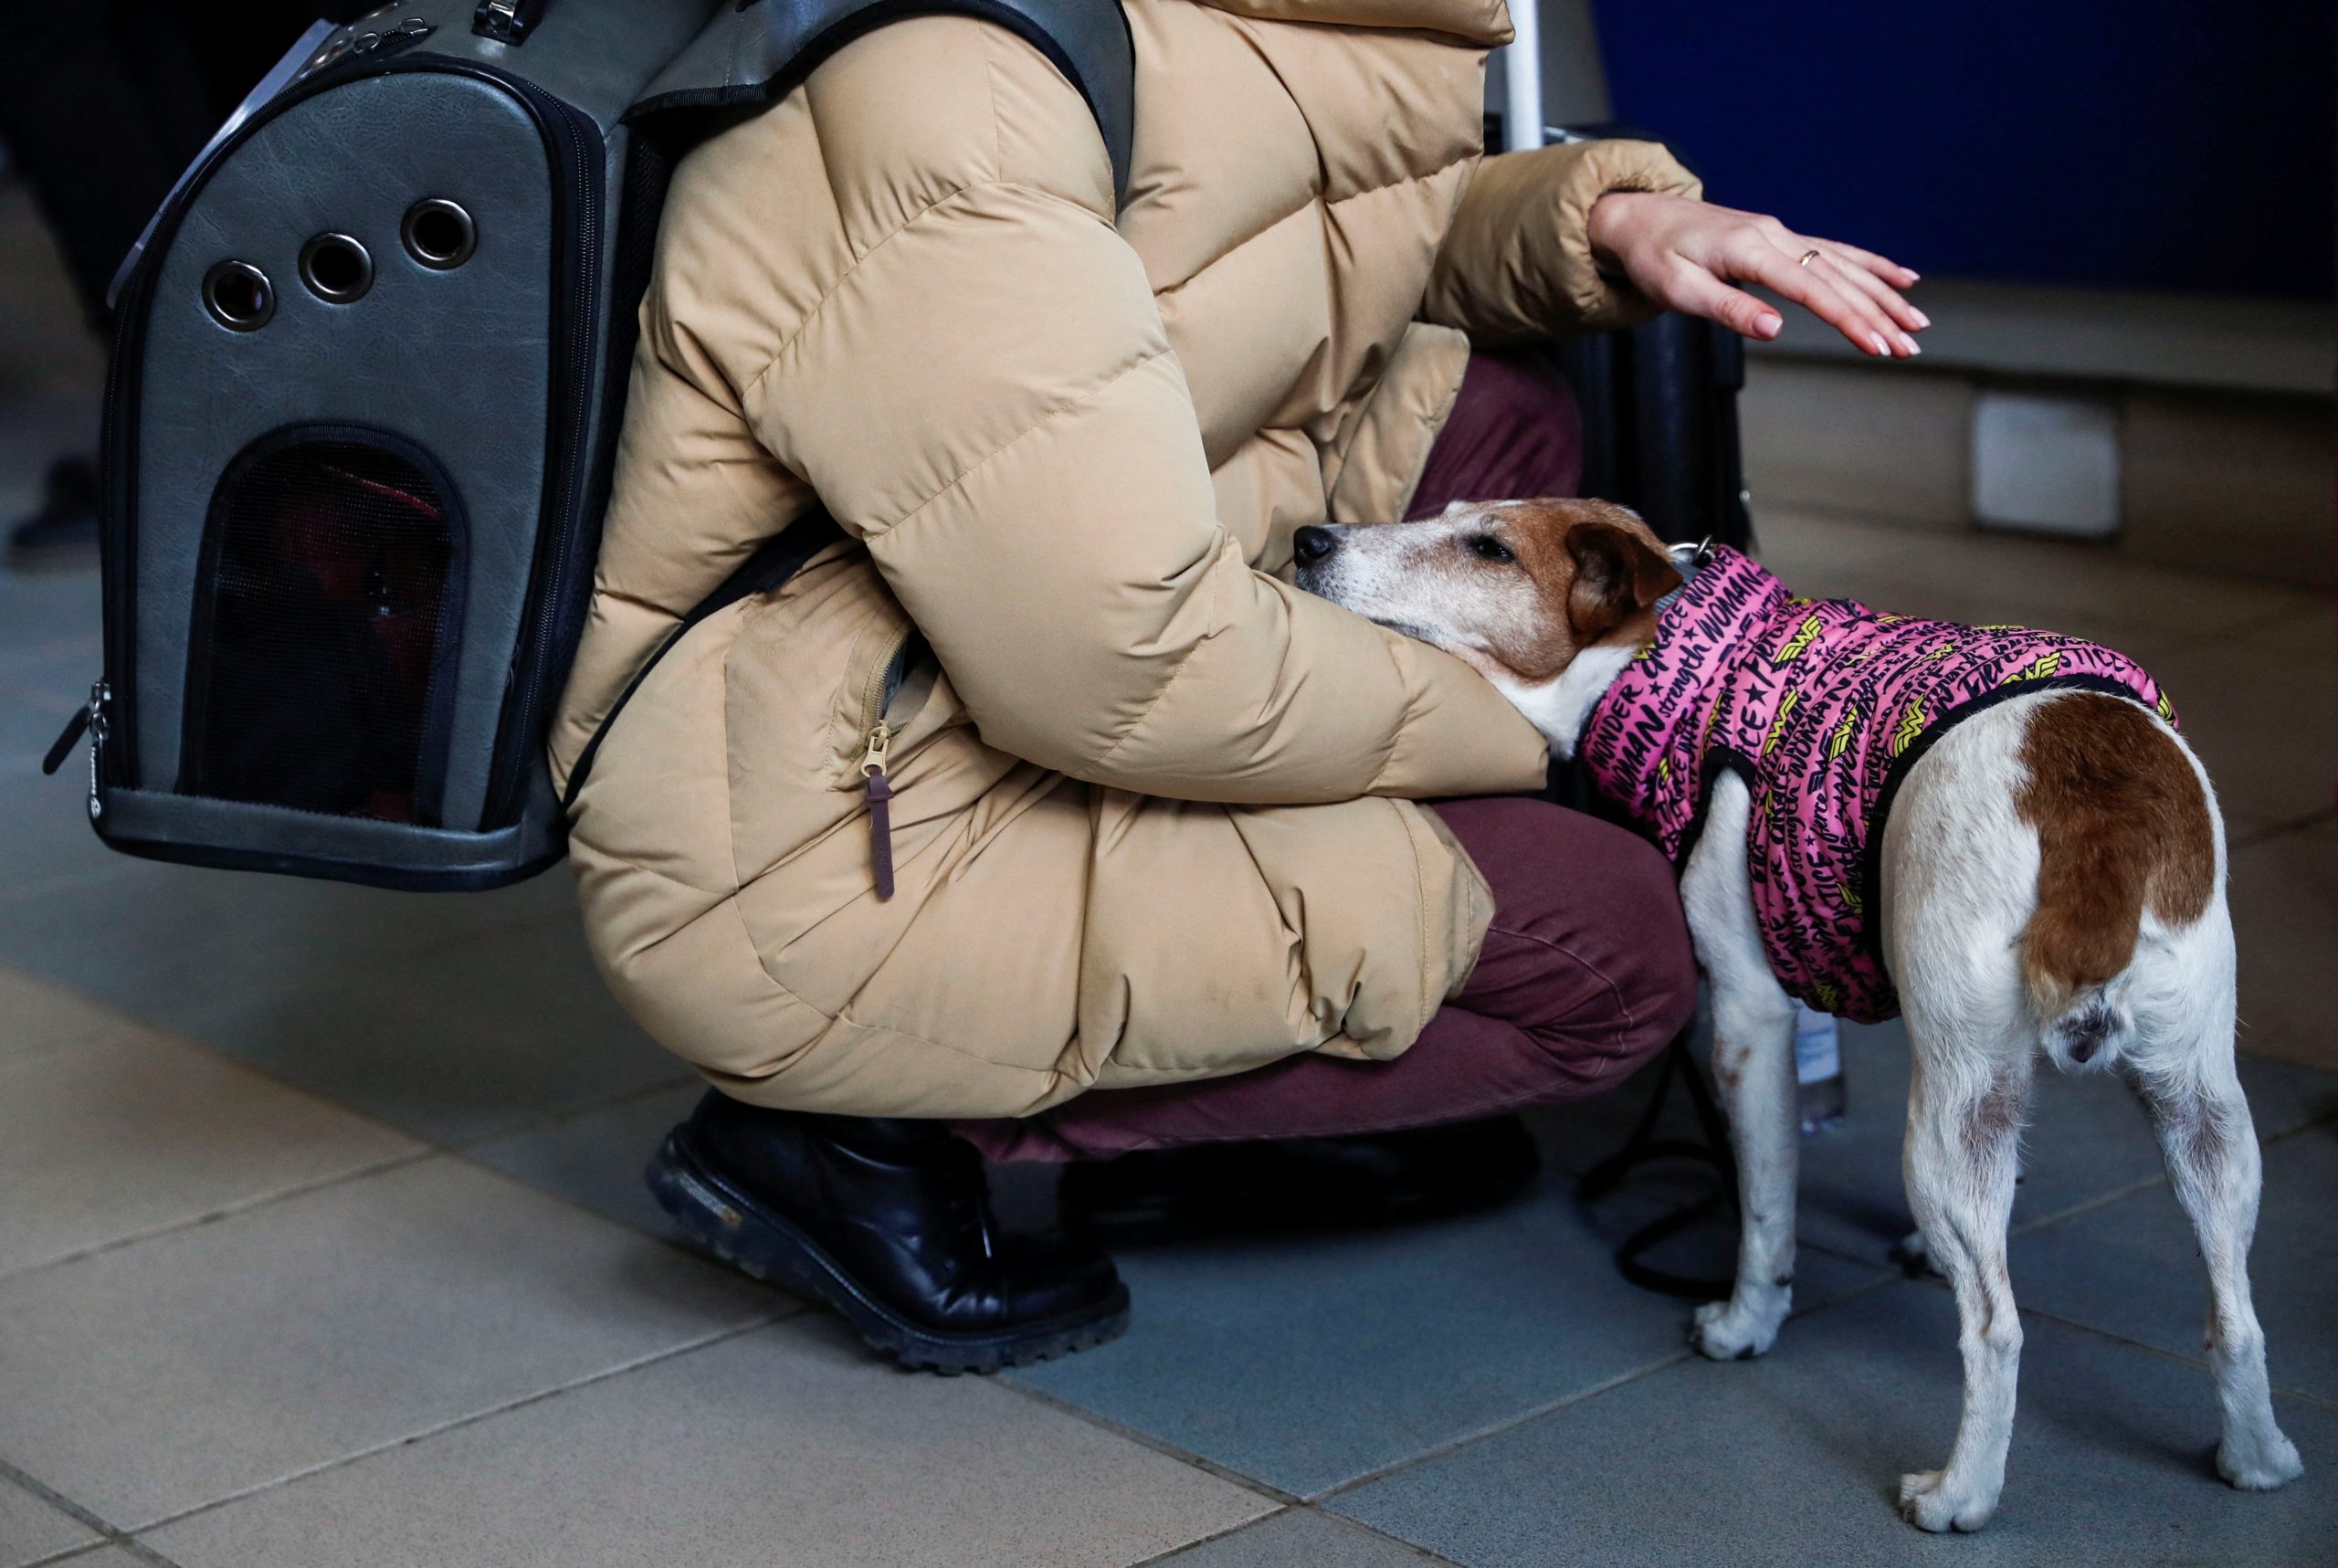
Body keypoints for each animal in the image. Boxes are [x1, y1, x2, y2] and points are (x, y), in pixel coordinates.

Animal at [1300, 500, 2301, 1532]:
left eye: (1488, 548)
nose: (1309, 539)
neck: (1674, 658)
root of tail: (2087, 790)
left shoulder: (1749, 1016)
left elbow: (1765, 1210)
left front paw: (1748, 1322)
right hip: (2198, 1111)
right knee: (2235, 1315)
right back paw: (2255, 1456)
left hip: (1949, 1124)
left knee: (1996, 1327)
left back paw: (1961, 1493)